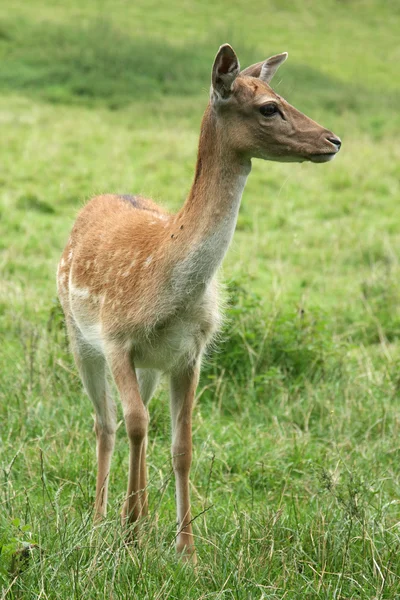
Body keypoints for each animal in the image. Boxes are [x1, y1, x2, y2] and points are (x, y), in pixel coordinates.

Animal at [57, 43, 342, 564]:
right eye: (268, 107)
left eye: (282, 95)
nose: (332, 140)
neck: (167, 286)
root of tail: (96, 199)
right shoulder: (116, 338)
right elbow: (134, 424)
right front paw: (129, 536)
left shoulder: (190, 353)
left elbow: (182, 444)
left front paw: (183, 547)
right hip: (78, 335)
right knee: (107, 423)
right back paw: (102, 518)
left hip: (150, 365)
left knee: (136, 423)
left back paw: (137, 518)